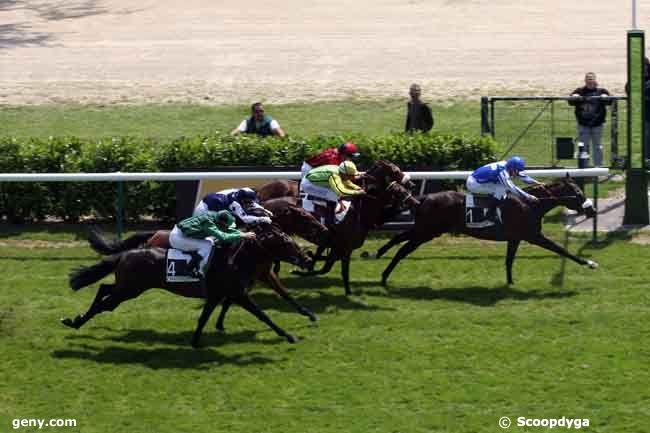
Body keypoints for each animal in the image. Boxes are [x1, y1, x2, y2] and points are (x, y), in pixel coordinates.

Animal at [62, 221, 312, 346]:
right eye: (287, 243)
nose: (306, 258)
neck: (237, 258)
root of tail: (126, 254)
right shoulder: (238, 293)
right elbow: (263, 315)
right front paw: (288, 336)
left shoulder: (219, 294)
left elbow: (204, 317)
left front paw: (196, 340)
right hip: (130, 289)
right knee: (105, 304)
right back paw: (76, 321)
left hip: (127, 287)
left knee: (104, 290)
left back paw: (75, 320)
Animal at [362, 174, 596, 286]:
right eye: (578, 193)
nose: (592, 210)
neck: (530, 203)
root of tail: (423, 197)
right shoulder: (533, 235)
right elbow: (561, 250)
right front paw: (590, 263)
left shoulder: (516, 238)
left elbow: (509, 261)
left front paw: (510, 282)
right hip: (426, 232)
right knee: (402, 249)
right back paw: (383, 275)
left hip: (425, 230)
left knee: (398, 239)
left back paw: (375, 255)